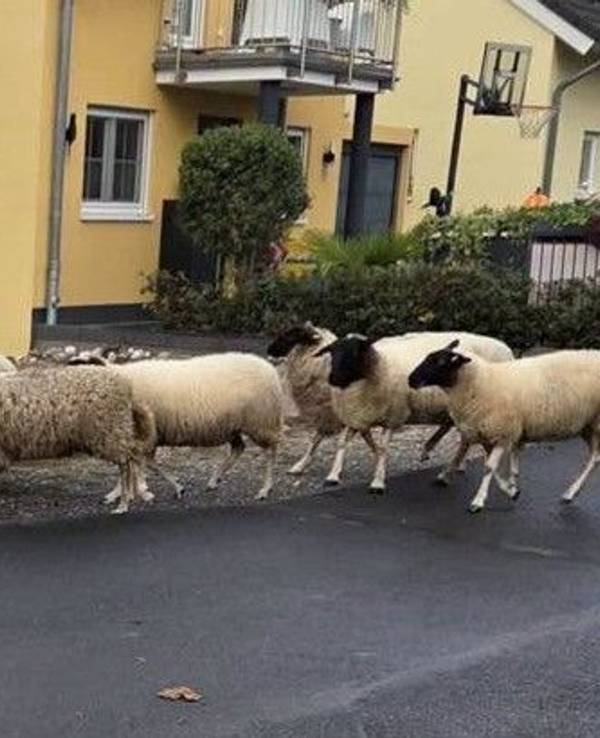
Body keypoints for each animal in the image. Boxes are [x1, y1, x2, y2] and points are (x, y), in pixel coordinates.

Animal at [0, 366, 155, 514]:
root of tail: (127, 388)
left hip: (109, 431)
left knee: (127, 461)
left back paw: (123, 504)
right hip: (116, 430)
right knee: (134, 455)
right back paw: (126, 495)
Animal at [76, 353, 284, 502]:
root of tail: (271, 370)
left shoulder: (142, 434)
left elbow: (138, 464)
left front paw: (125, 492)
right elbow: (140, 463)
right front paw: (123, 492)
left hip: (261, 421)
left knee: (271, 450)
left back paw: (265, 488)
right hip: (232, 427)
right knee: (239, 447)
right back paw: (214, 480)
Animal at [315, 331, 514, 492]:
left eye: (355, 352)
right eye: (332, 352)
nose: (333, 378)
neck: (379, 364)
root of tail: (505, 348)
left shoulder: (393, 415)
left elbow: (383, 448)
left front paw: (378, 481)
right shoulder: (357, 415)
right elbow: (343, 443)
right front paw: (333, 475)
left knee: (463, 439)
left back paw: (447, 469)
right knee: (455, 432)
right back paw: (443, 458)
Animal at [409, 341, 600, 513]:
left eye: (441, 361)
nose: (411, 379)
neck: (481, 382)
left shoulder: (503, 434)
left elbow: (489, 468)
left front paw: (478, 501)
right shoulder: (490, 435)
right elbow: (496, 469)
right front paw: (512, 491)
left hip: (596, 425)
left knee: (594, 459)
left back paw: (571, 492)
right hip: (587, 426)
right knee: (595, 457)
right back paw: (571, 493)